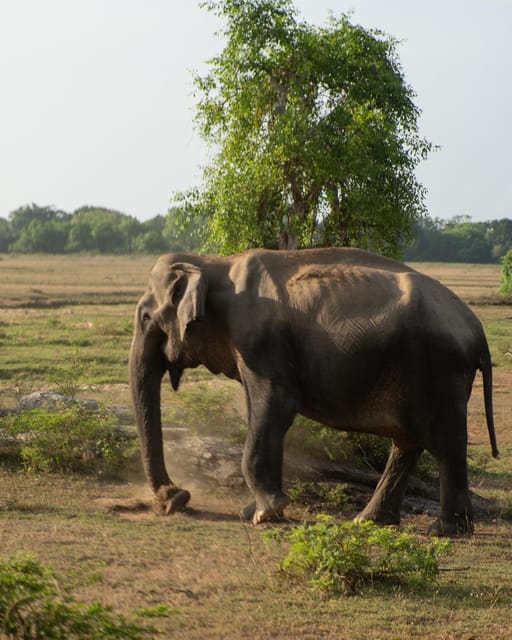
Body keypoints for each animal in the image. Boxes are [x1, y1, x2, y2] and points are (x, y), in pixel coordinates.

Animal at [129, 248, 500, 536]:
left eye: (146, 316)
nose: (177, 497)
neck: (213, 263)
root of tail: (477, 329)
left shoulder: (259, 342)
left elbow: (275, 404)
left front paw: (265, 513)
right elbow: (261, 413)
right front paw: (255, 511)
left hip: (440, 370)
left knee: (446, 444)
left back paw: (445, 530)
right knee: (408, 442)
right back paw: (368, 521)